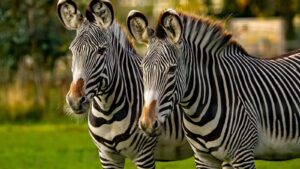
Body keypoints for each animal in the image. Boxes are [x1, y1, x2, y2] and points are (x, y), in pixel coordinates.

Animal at [57, 0, 192, 168]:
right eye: (72, 51)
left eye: (101, 51)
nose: (75, 100)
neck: (107, 112)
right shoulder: (107, 156)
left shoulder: (144, 155)